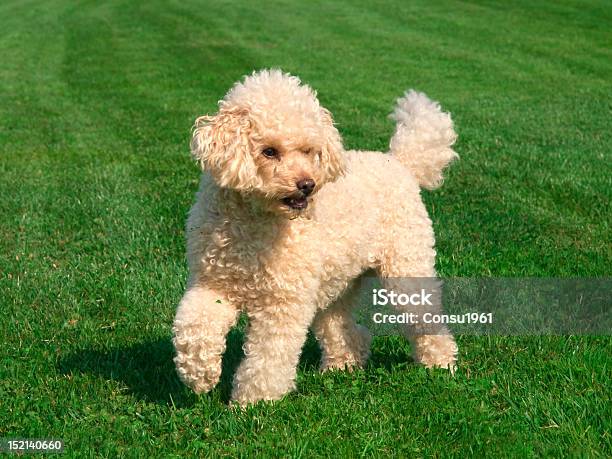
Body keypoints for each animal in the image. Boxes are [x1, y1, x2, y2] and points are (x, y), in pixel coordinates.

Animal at [172, 69, 460, 406]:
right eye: (269, 151)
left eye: (309, 151)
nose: (306, 185)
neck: (254, 222)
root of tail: (400, 162)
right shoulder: (211, 283)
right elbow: (193, 325)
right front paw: (199, 376)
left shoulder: (283, 301)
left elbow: (268, 356)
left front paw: (255, 402)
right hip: (339, 279)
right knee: (340, 324)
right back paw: (343, 364)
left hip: (405, 266)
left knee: (425, 315)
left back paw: (440, 364)